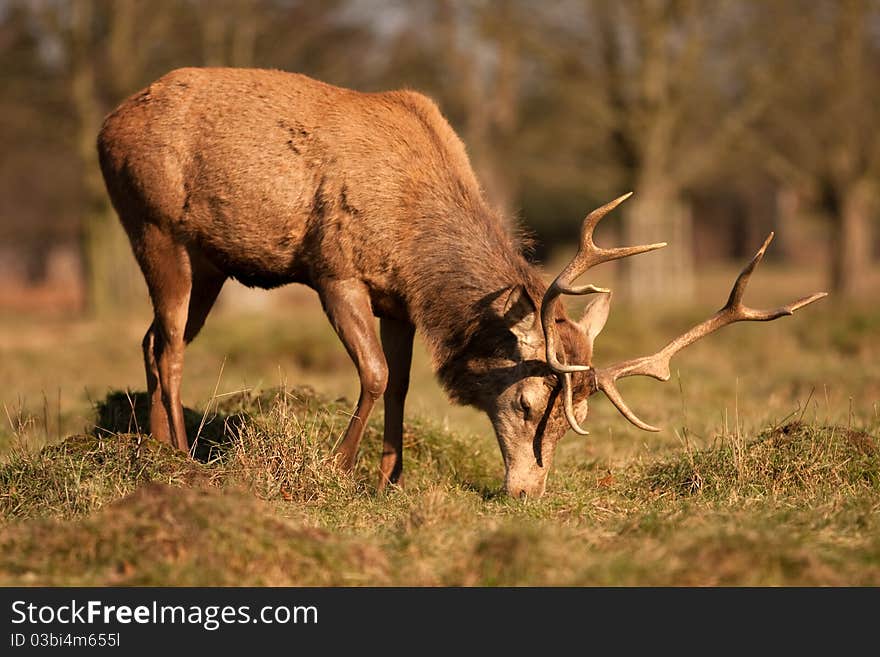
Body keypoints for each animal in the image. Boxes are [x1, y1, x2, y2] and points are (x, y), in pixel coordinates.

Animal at [96, 68, 824, 498]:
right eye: (528, 403)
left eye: (576, 422)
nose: (526, 491)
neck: (417, 239)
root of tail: (107, 124)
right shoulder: (336, 269)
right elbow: (375, 375)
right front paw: (338, 469)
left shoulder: (397, 300)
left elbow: (401, 384)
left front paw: (391, 478)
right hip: (153, 222)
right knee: (170, 344)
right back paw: (178, 457)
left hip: (211, 260)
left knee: (149, 338)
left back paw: (147, 447)